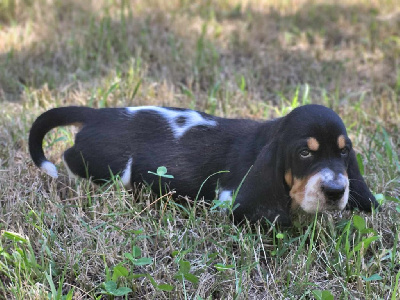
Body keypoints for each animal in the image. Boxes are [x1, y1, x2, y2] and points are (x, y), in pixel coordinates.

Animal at [29, 104, 380, 224]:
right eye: (305, 154)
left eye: (344, 152)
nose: (335, 191)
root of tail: (95, 114)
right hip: (111, 167)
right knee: (70, 158)